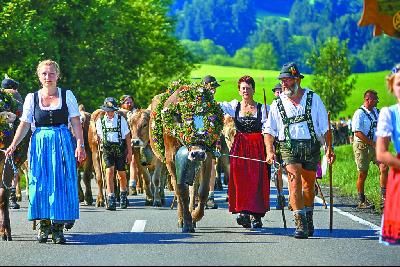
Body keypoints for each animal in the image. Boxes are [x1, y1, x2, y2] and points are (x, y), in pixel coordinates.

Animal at [150, 80, 225, 233]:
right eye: (184, 120)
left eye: (210, 119)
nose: (197, 153)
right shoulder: (171, 159)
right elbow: (181, 191)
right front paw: (187, 223)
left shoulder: (208, 157)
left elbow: (202, 191)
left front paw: (195, 216)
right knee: (178, 189)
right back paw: (181, 219)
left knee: (194, 188)